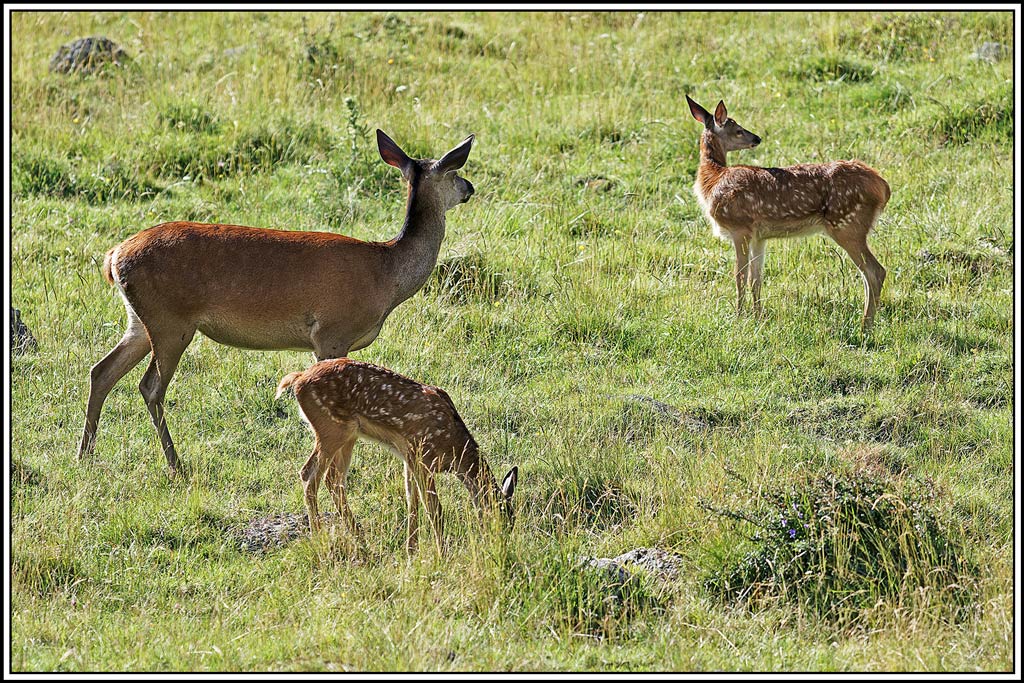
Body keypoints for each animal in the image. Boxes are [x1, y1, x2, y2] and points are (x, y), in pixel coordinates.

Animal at [77, 130, 475, 476]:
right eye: (455, 171)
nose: (470, 188)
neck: (387, 275)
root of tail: (114, 256)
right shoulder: (332, 331)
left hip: (140, 319)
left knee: (102, 370)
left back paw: (86, 454)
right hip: (170, 322)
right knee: (150, 387)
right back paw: (176, 464)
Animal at [275, 358, 518, 554]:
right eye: (501, 519)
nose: (500, 545)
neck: (454, 450)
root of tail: (298, 379)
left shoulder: (409, 457)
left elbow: (412, 502)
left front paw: (411, 550)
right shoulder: (423, 456)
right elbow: (435, 509)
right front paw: (442, 553)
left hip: (348, 435)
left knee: (333, 479)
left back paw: (359, 538)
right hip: (331, 428)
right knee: (309, 474)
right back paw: (320, 538)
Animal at [686, 95, 891, 331]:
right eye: (737, 129)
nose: (756, 138)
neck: (713, 180)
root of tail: (883, 187)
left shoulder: (740, 228)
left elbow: (739, 276)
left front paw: (738, 317)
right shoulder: (759, 236)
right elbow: (756, 278)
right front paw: (758, 317)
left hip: (847, 224)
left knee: (875, 271)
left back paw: (864, 326)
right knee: (868, 274)